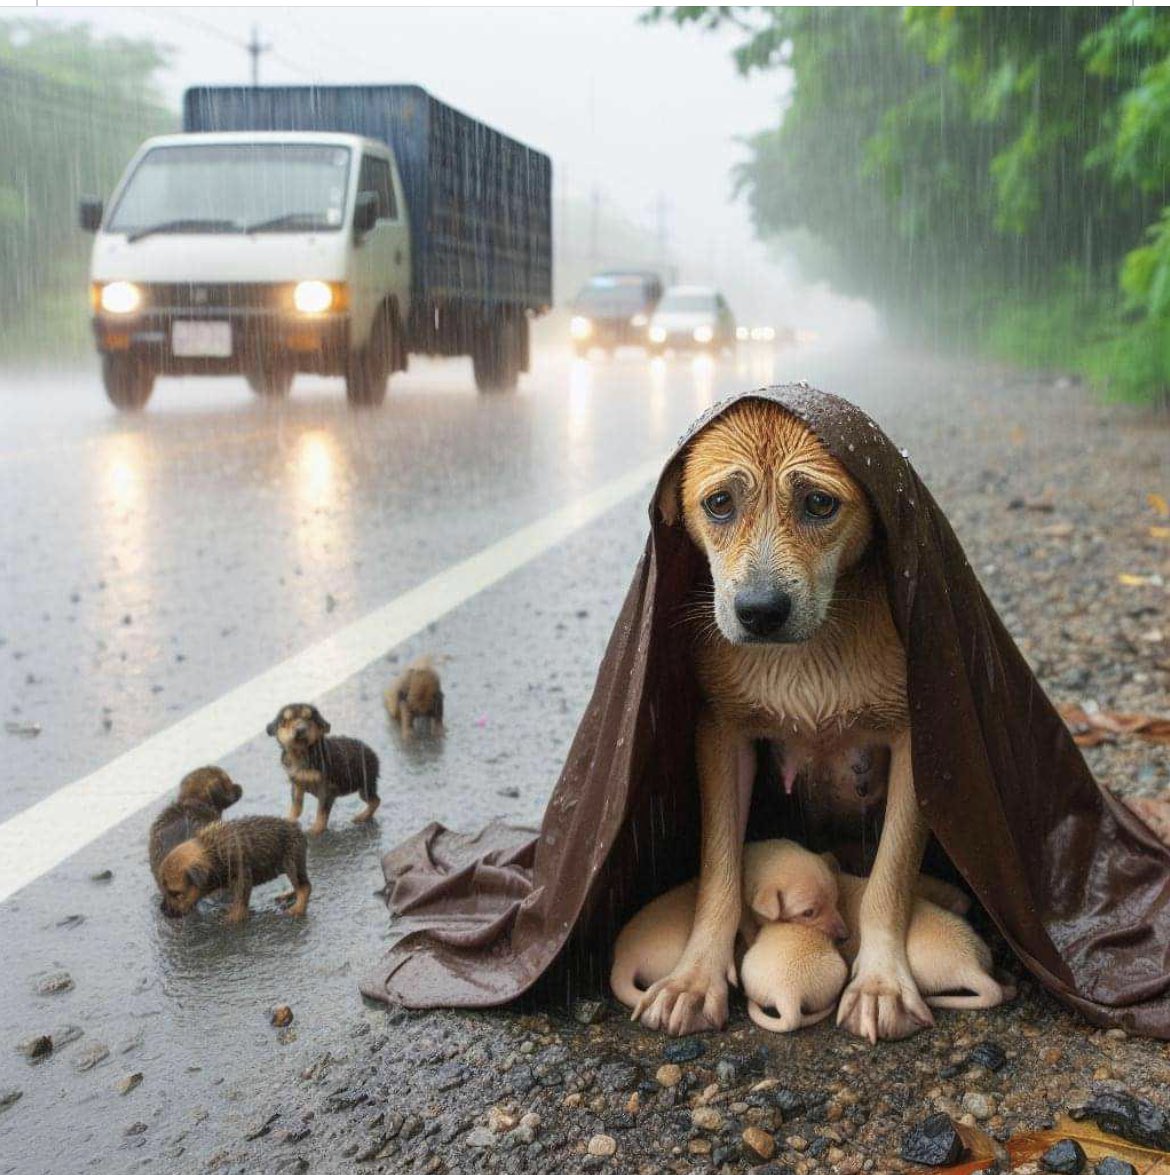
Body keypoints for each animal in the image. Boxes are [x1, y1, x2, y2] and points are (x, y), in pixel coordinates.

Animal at [156, 813, 310, 921]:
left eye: (176, 894)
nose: (162, 911)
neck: (211, 853)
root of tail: (297, 828)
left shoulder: (242, 874)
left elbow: (240, 898)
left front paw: (234, 916)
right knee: (298, 885)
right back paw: (288, 894)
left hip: (292, 862)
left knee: (304, 887)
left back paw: (298, 908)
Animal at [265, 700, 378, 831]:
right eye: (286, 720)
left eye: (309, 718)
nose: (300, 729)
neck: (301, 753)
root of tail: (372, 752)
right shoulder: (297, 783)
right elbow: (296, 806)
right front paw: (289, 821)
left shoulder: (327, 788)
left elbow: (321, 812)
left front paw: (315, 830)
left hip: (365, 784)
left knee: (376, 801)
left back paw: (362, 817)